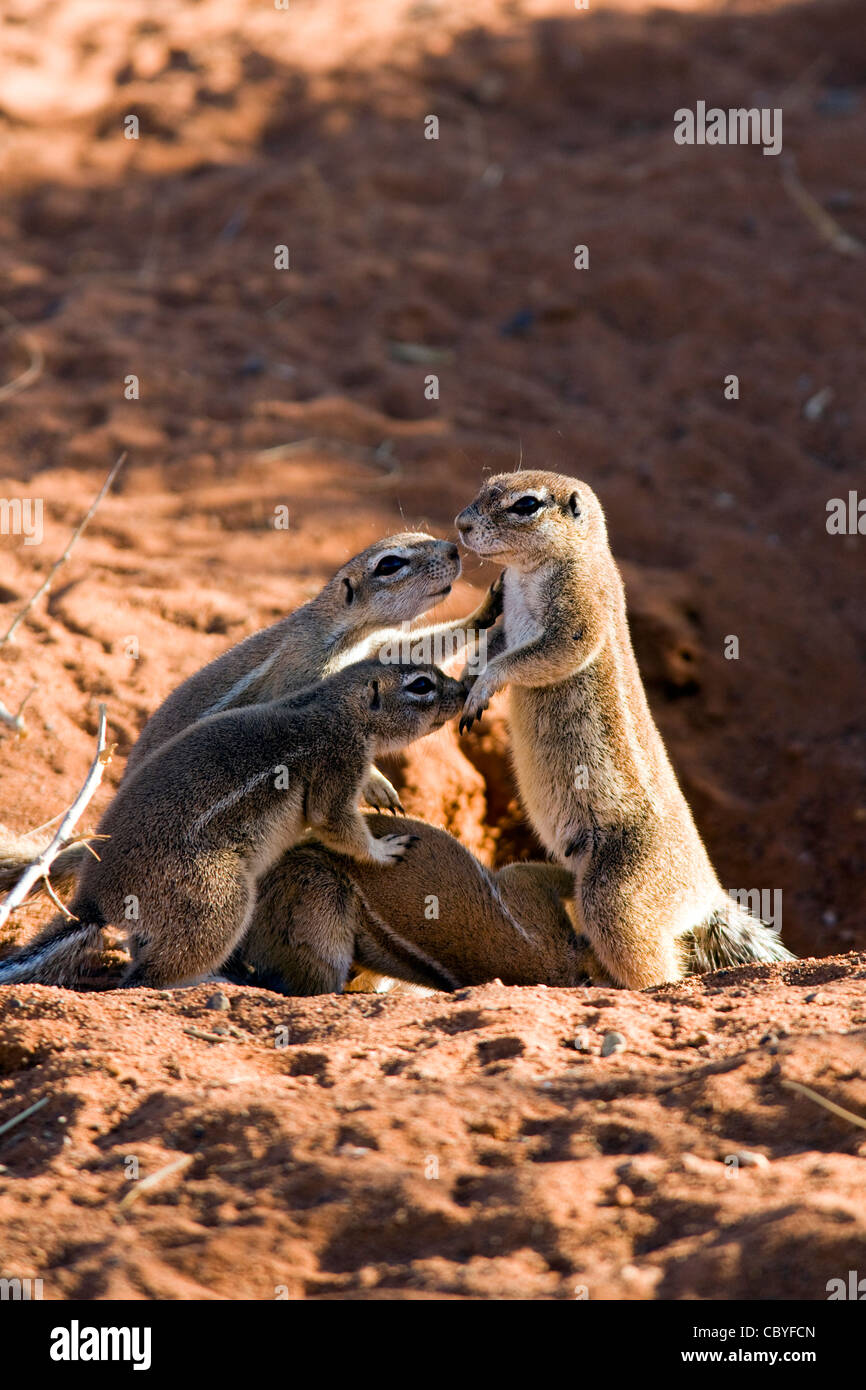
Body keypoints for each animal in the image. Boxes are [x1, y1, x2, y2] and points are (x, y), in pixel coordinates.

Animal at [458, 472, 795, 995]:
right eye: (487, 483)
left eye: (526, 505)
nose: (461, 525)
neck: (533, 571)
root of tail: (707, 892)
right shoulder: (507, 619)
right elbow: (493, 643)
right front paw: (468, 677)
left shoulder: (580, 611)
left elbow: (543, 654)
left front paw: (486, 684)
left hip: (615, 893)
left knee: (652, 963)